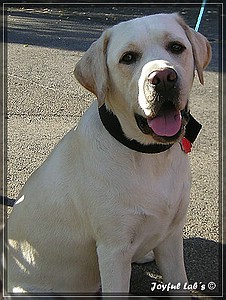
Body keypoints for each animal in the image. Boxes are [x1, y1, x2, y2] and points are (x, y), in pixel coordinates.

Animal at [7, 12, 212, 296]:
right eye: (128, 57)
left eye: (176, 47)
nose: (163, 77)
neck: (148, 156)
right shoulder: (113, 251)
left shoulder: (172, 237)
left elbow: (179, 283)